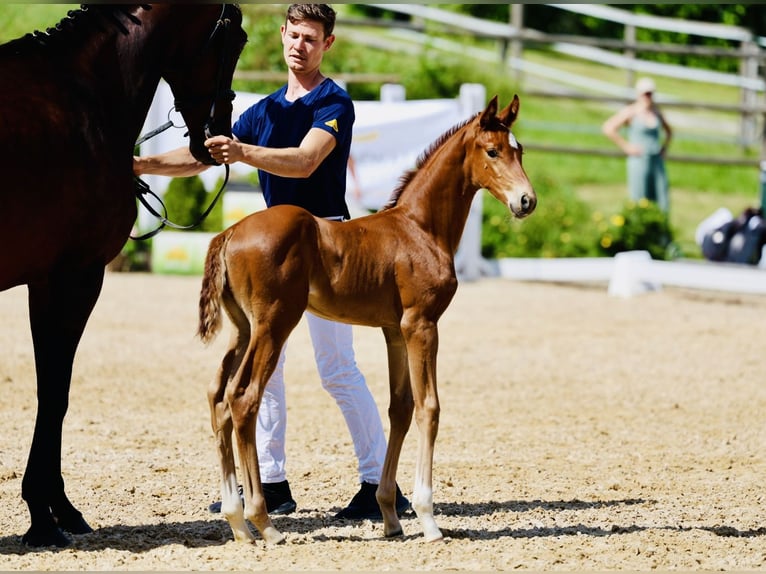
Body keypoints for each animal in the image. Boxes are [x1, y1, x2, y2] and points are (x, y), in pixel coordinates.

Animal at [0, 4, 246, 552]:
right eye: (236, 39)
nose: (218, 136)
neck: (81, 95)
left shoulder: (49, 281)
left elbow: (53, 389)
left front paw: (56, 509)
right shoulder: (74, 277)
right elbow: (55, 391)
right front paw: (46, 515)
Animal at [195, 97, 536, 548]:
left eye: (520, 151)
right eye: (493, 151)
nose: (527, 201)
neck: (420, 228)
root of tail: (230, 233)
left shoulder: (395, 332)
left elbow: (400, 409)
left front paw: (390, 515)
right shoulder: (422, 325)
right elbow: (430, 407)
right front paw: (427, 518)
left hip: (244, 329)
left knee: (218, 397)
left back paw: (236, 520)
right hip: (274, 324)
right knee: (243, 399)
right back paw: (262, 521)